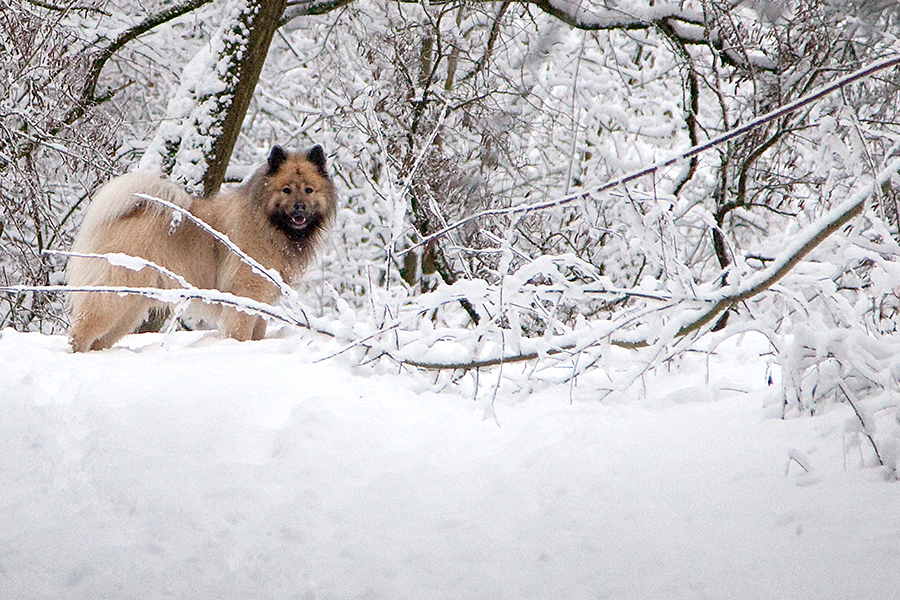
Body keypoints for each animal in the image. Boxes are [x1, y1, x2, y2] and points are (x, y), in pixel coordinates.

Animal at [66, 146, 334, 352]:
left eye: (309, 190)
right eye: (286, 190)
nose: (299, 207)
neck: (267, 224)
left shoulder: (264, 298)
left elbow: (258, 331)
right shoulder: (247, 292)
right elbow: (241, 330)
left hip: (132, 306)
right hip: (114, 296)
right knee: (82, 331)